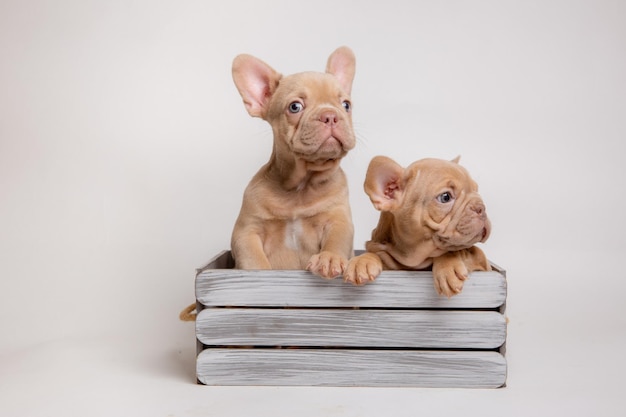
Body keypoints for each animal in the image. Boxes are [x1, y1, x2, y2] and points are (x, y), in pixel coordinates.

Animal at [229, 46, 356, 276]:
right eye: (295, 107)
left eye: (346, 105)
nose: (330, 115)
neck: (300, 187)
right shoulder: (247, 231)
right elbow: (253, 260)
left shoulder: (338, 219)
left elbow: (338, 238)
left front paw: (329, 258)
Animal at [344, 155, 490, 296]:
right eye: (445, 197)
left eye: (477, 190)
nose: (481, 207)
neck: (414, 260)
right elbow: (376, 253)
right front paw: (362, 261)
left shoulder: (480, 261)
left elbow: (455, 251)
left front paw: (448, 267)